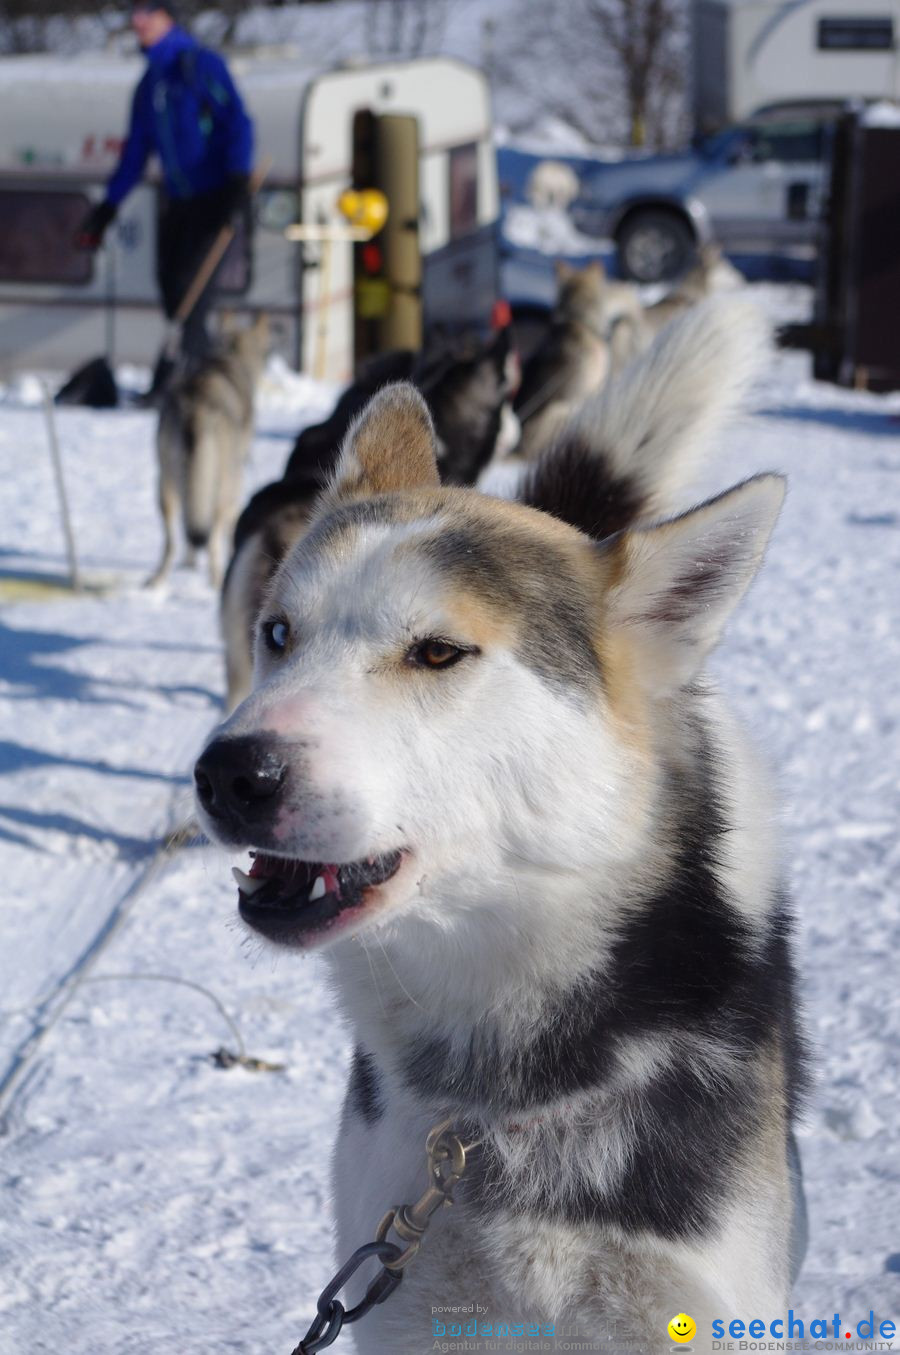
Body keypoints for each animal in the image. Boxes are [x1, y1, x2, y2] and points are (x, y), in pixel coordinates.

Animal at [145, 319, 267, 596]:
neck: (230, 355)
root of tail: (195, 409)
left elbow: (191, 528)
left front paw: (189, 563)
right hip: (225, 487)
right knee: (211, 536)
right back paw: (216, 580)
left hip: (165, 484)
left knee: (173, 539)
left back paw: (158, 580)